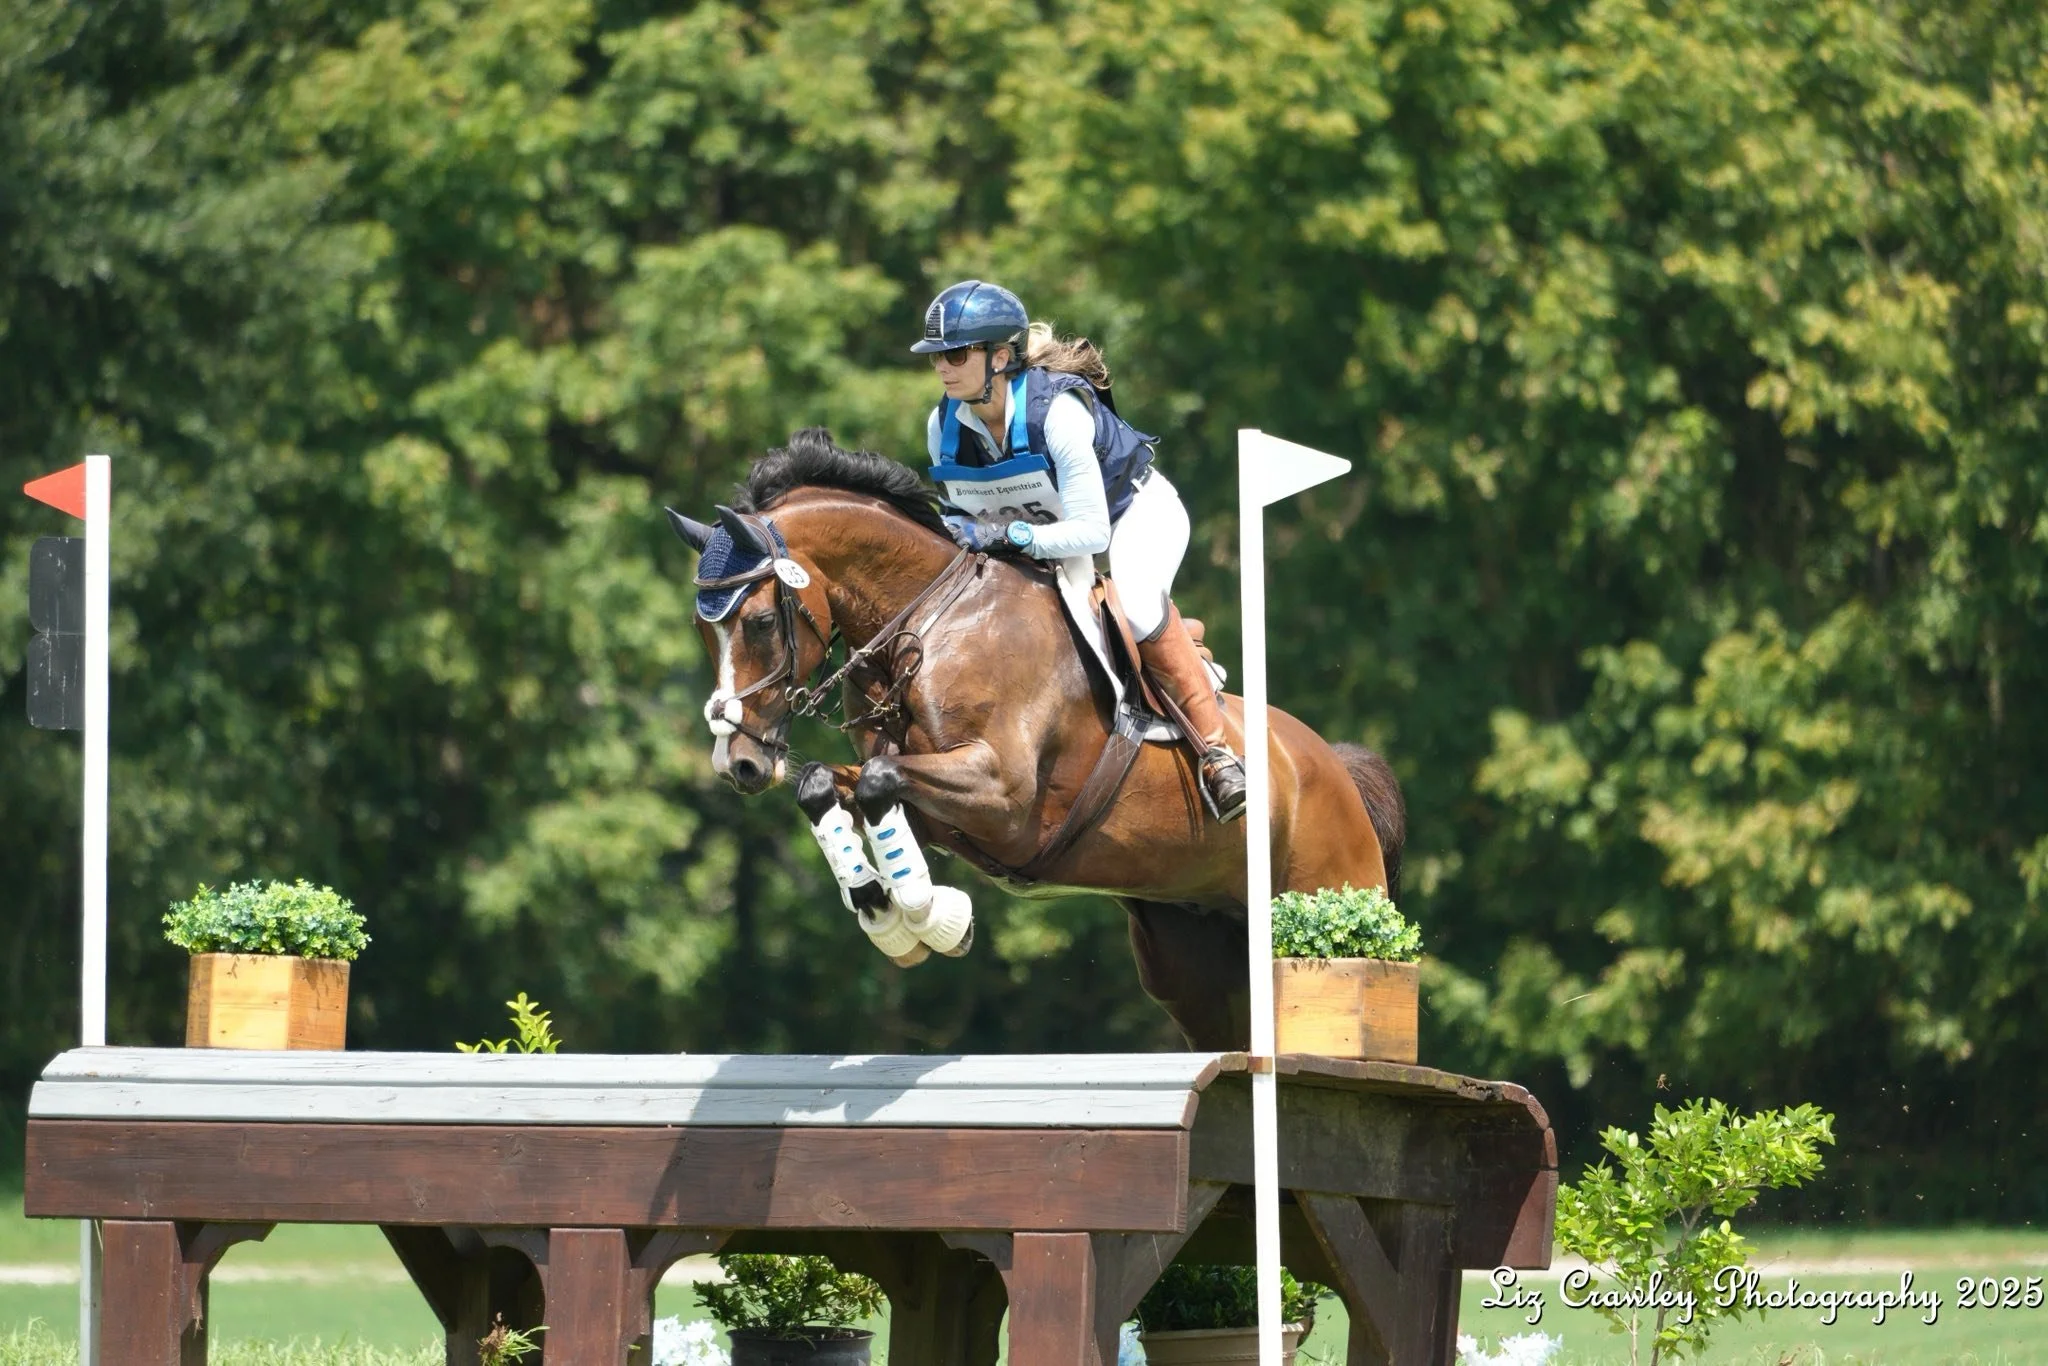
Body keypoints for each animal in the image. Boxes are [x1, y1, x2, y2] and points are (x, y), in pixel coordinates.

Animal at [669, 429, 1405, 1050]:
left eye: (761, 621)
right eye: (704, 630)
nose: (737, 763)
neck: (928, 625)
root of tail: (1332, 769)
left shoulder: (1004, 796)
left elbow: (879, 784)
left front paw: (926, 913)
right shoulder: (935, 803)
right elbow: (829, 784)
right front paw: (888, 910)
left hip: (1320, 900)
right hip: (1192, 960)